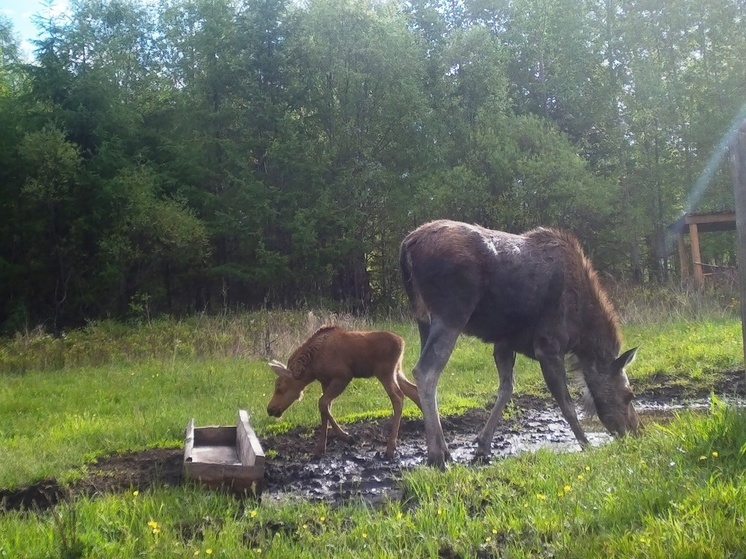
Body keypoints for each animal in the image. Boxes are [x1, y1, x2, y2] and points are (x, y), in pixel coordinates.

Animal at [266, 328, 418, 460]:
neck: (311, 369)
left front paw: (347, 437)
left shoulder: (343, 376)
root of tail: (402, 342)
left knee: (398, 397)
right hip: (397, 370)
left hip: (385, 372)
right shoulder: (325, 381)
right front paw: (320, 449)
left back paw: (390, 448)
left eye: (279, 387)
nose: (270, 409)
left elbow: (322, 403)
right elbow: (325, 409)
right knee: (414, 390)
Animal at [398, 219, 636, 468]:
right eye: (629, 395)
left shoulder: (504, 343)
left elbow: (506, 388)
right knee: (426, 372)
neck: (582, 337)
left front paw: (483, 445)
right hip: (451, 314)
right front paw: (586, 444)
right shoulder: (548, 346)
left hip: (423, 319)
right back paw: (438, 454)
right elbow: (567, 404)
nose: (635, 432)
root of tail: (407, 245)